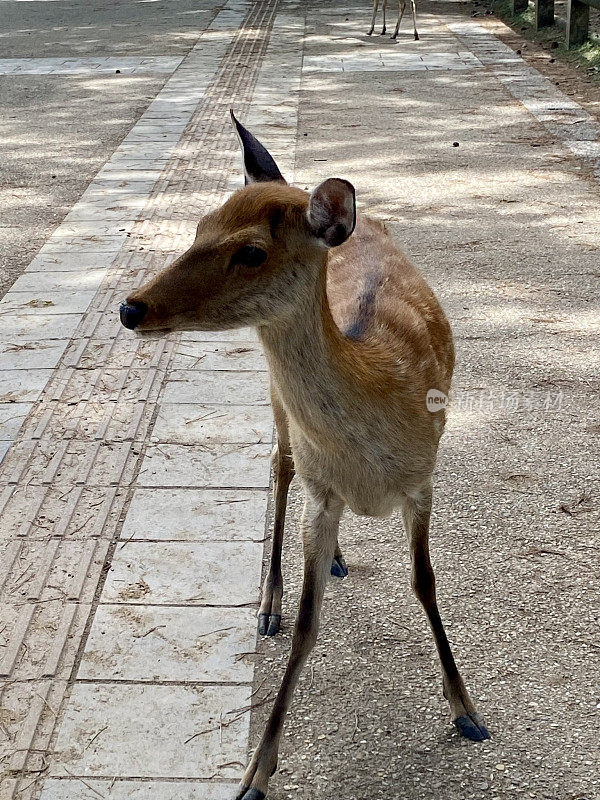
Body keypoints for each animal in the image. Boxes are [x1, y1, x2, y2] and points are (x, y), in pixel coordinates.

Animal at [119, 111, 490, 800]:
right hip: (276, 407)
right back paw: (268, 601)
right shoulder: (323, 492)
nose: (132, 306)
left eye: (251, 251)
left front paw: (467, 711)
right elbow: (305, 626)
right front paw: (255, 774)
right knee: (280, 466)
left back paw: (340, 557)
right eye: (200, 226)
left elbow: (425, 582)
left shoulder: (424, 478)